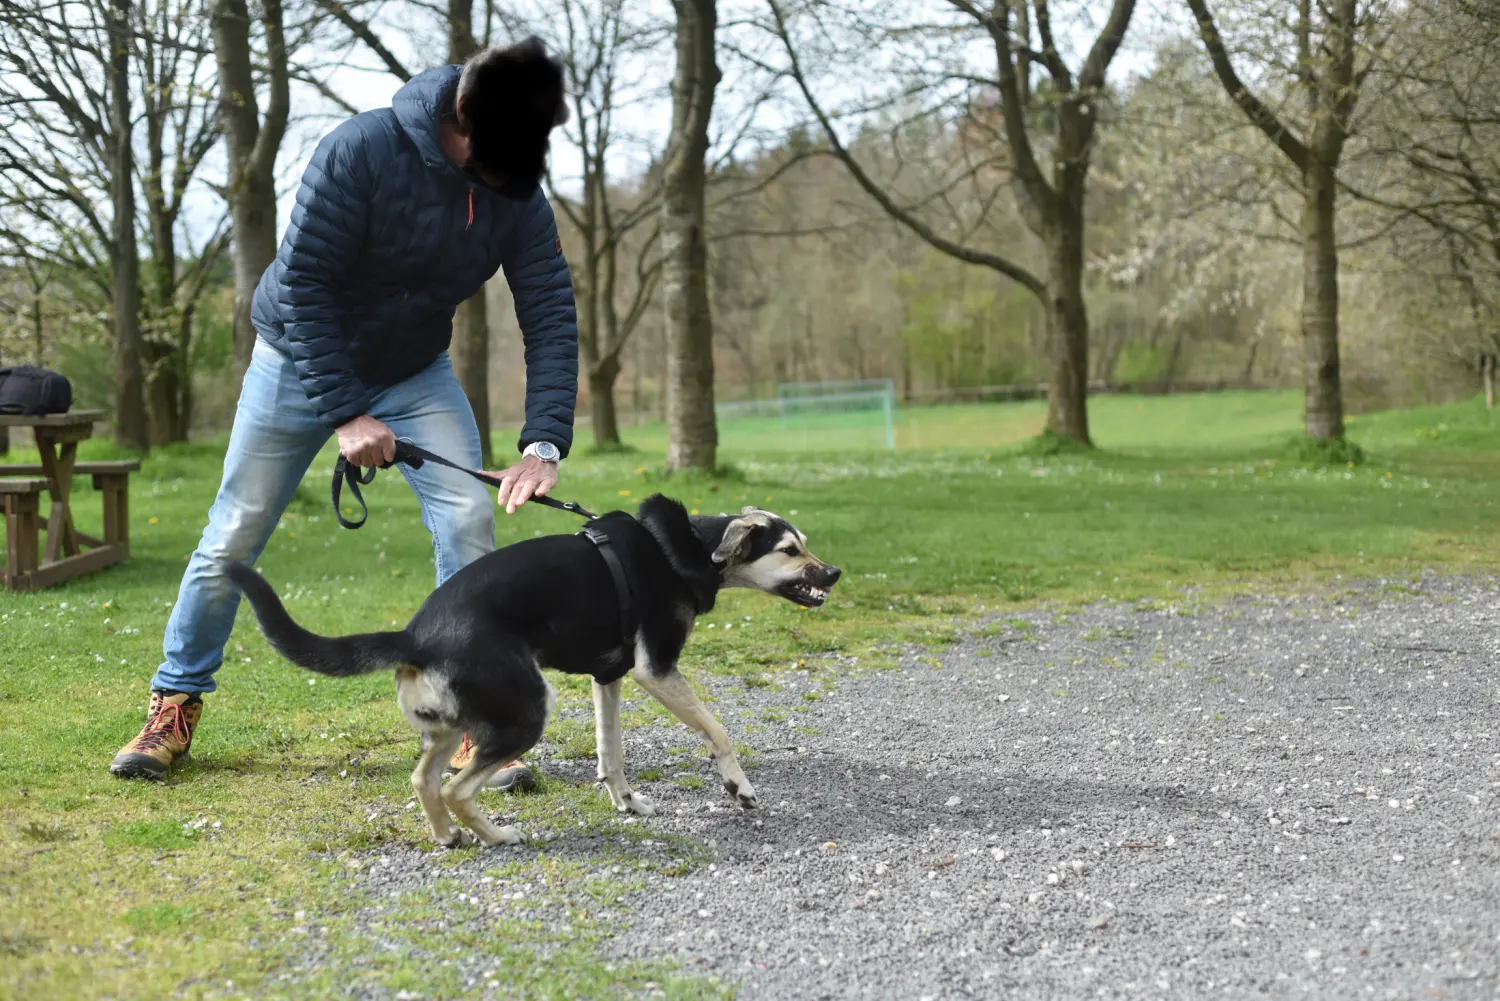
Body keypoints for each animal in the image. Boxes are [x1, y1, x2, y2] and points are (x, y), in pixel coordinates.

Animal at [223, 498, 840, 852]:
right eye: (789, 550)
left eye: (806, 544)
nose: (833, 572)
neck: (689, 548)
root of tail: (414, 635)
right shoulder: (656, 670)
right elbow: (718, 730)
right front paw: (739, 787)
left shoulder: (609, 677)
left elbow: (612, 753)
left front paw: (627, 803)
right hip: (526, 709)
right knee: (458, 787)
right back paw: (497, 835)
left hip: (455, 724)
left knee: (424, 780)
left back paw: (449, 836)